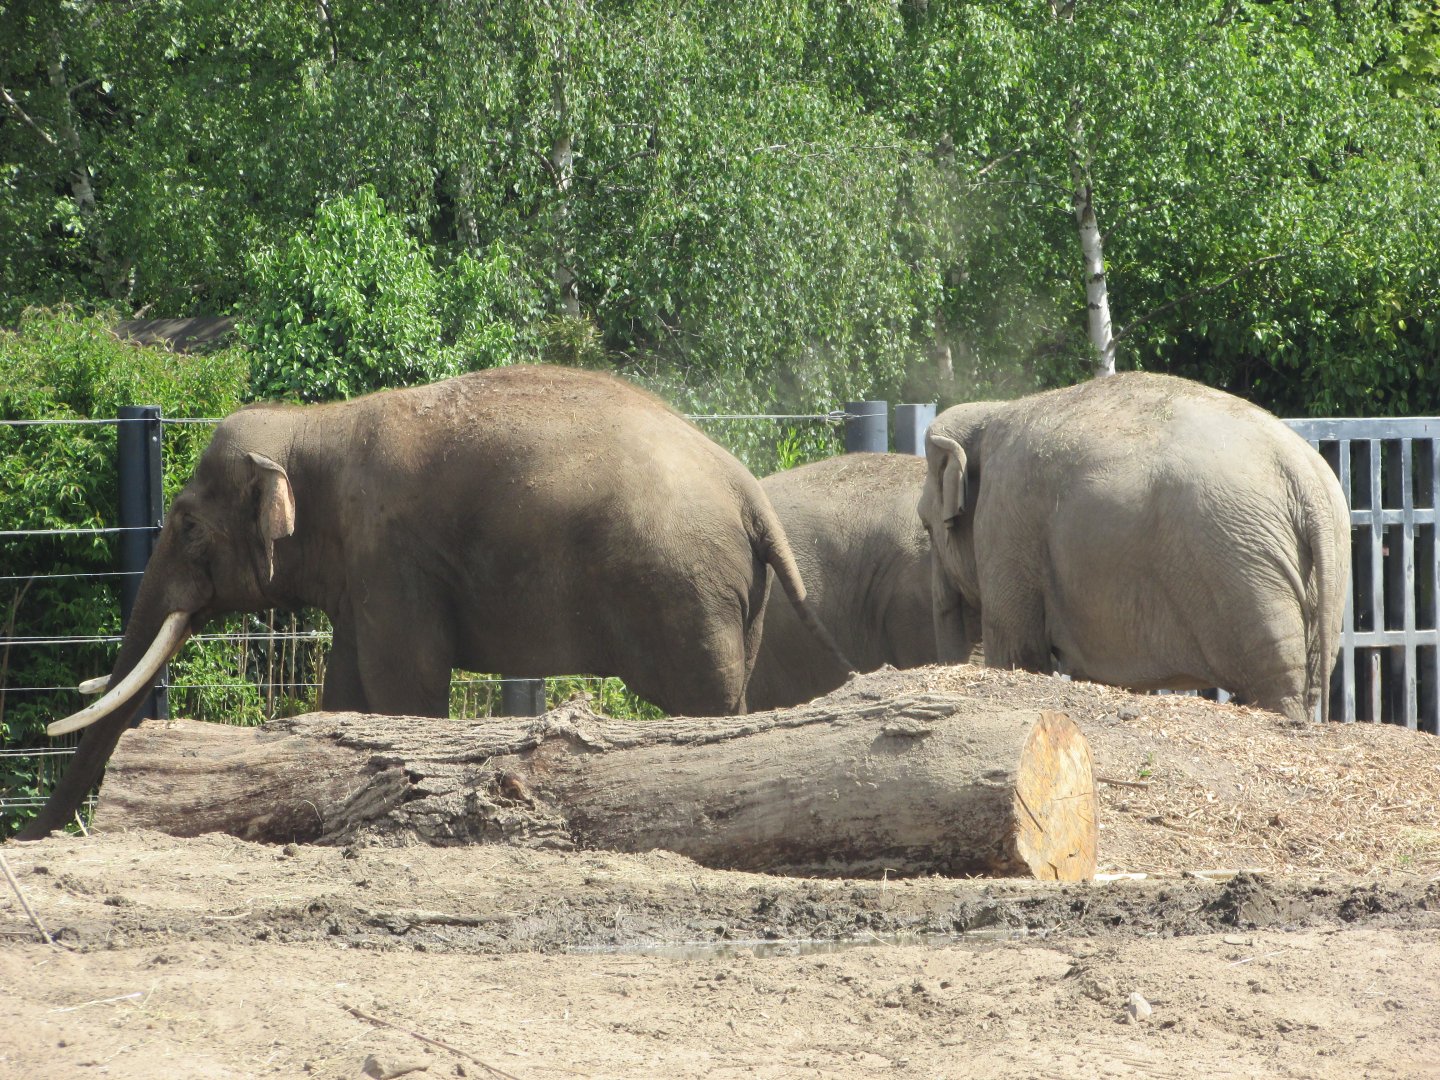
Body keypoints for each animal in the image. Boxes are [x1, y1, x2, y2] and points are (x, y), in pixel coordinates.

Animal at [19, 364, 850, 839]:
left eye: (189, 525)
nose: (28, 840)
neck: (318, 422)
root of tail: (747, 488)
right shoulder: (366, 573)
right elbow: (348, 689)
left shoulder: (394, 557)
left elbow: (405, 687)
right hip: (734, 600)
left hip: (688, 594)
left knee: (708, 704)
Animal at [918, 372, 1349, 724]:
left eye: (926, 524)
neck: (991, 413)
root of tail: (1304, 477)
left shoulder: (1005, 520)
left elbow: (1017, 651)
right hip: (1322, 570)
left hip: (1243, 568)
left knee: (1273, 681)